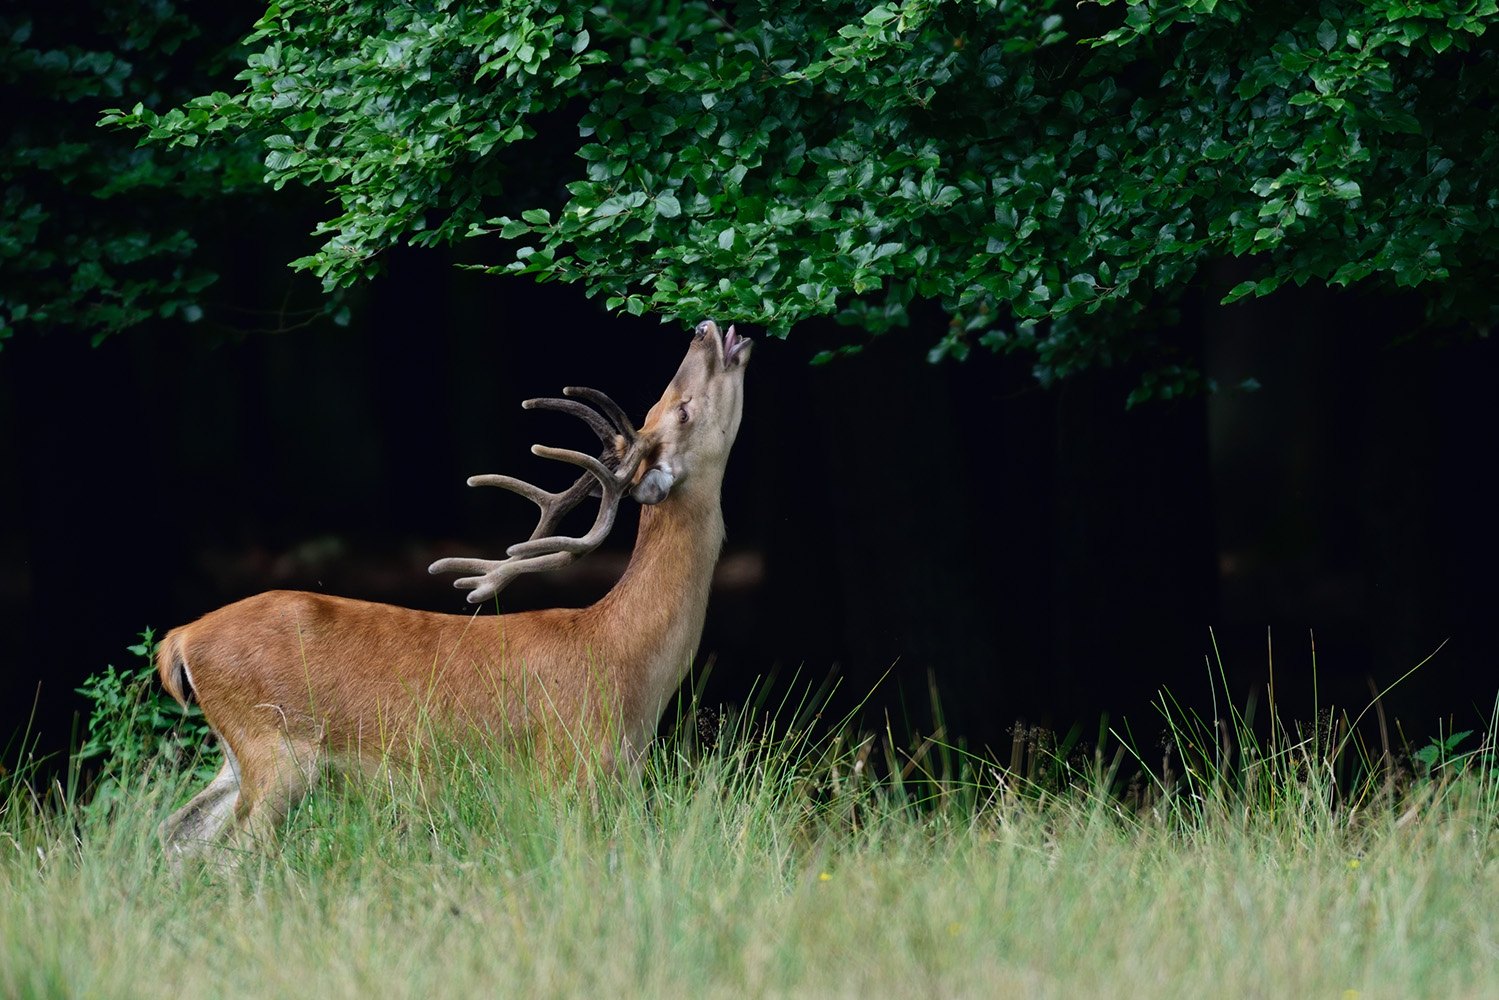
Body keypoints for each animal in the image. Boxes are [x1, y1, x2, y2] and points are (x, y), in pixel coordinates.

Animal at [155, 322, 749, 869]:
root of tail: (180, 639)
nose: (705, 329)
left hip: (235, 758)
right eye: (681, 411)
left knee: (177, 832)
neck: (626, 661)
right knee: (231, 853)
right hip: (276, 750)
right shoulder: (567, 773)